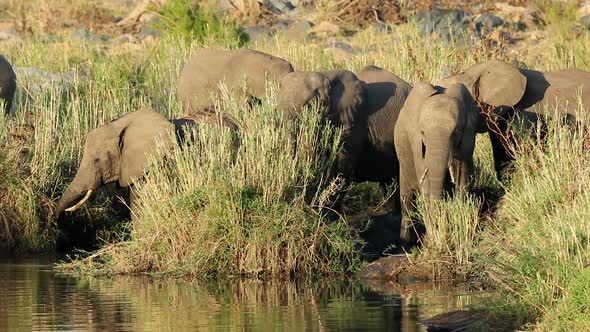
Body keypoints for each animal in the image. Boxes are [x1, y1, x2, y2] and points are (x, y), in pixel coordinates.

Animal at [396, 81, 488, 243]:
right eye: (422, 132)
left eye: (455, 132)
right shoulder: (416, 143)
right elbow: (425, 183)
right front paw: (432, 238)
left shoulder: (468, 137)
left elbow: (463, 177)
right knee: (406, 198)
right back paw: (405, 240)